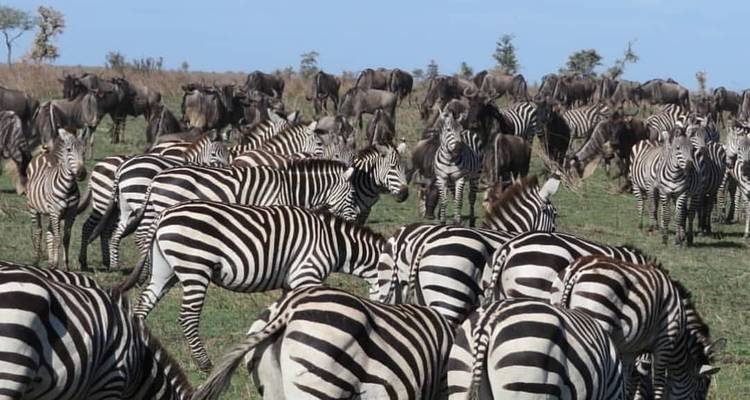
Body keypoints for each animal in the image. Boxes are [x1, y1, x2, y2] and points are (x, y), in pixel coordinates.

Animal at [26, 129, 89, 270]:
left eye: (84, 151)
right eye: (69, 150)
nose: (82, 173)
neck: (68, 188)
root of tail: (45, 154)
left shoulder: (71, 213)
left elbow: (66, 239)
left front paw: (65, 266)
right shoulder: (56, 212)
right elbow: (58, 238)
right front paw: (56, 264)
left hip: (50, 212)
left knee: (49, 232)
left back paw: (50, 262)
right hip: (33, 207)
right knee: (39, 231)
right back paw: (36, 261)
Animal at [89, 132, 229, 271]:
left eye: (227, 154)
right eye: (213, 154)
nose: (227, 170)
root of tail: (121, 168)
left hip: (123, 206)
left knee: (115, 232)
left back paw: (114, 265)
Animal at [122, 202, 386, 371]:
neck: (334, 243)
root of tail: (164, 214)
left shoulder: (291, 281)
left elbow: (284, 313)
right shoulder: (306, 274)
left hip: (164, 270)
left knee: (143, 306)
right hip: (194, 265)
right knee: (187, 317)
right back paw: (205, 364)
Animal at [550, 256, 724, 399]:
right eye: (702, 390)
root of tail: (576, 270)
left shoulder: (630, 349)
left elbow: (626, 380)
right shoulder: (665, 342)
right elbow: (659, 383)